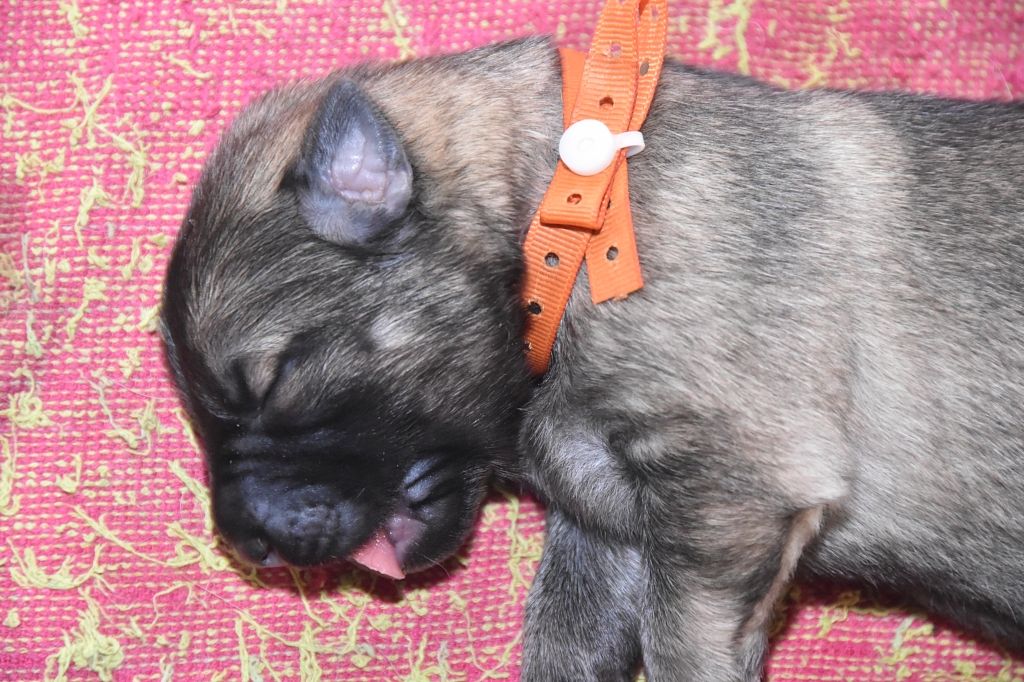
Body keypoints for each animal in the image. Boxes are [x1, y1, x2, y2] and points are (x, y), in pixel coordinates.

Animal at [161, 36, 1024, 681]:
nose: (244, 542)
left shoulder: (725, 501)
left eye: (273, 381)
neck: (557, 229)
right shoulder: (605, 532)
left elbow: (683, 646)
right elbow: (564, 638)